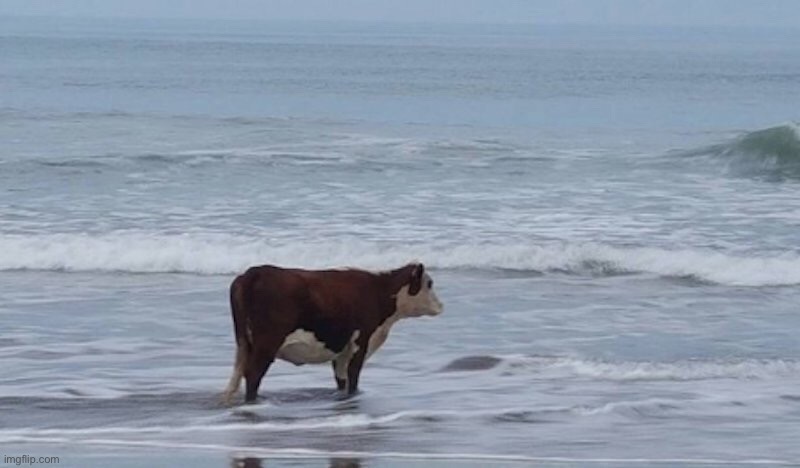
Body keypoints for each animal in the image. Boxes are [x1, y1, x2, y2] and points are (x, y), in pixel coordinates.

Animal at [221, 261, 443, 404]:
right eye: (430, 283)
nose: (441, 305)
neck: (378, 290)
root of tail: (252, 273)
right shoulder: (360, 342)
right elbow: (353, 376)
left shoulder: (342, 350)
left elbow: (341, 378)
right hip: (266, 344)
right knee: (253, 374)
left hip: (244, 343)